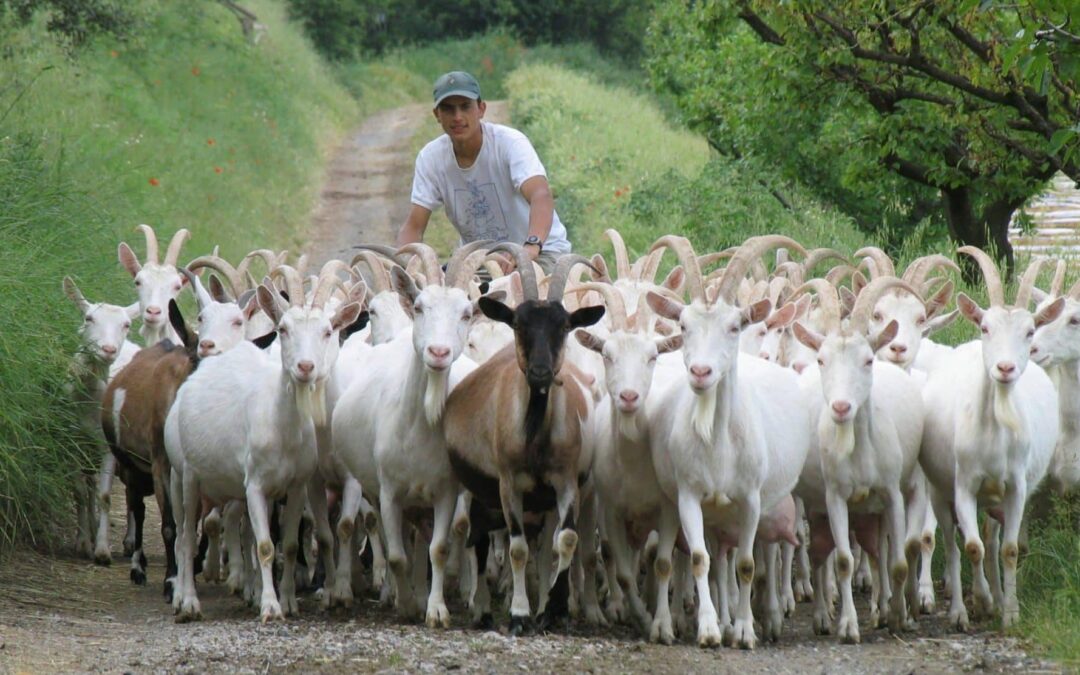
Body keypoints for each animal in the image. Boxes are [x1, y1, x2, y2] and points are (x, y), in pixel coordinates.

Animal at [63, 276, 140, 561]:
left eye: (126, 325)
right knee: (90, 486)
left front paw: (102, 550)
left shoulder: (108, 447)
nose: (108, 349)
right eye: (88, 318)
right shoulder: (70, 441)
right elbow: (80, 492)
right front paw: (83, 542)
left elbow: (106, 496)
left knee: (131, 489)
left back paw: (129, 541)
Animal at [442, 246, 604, 630]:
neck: (535, 438)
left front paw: (552, 607)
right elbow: (516, 549)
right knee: (477, 540)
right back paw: (481, 608)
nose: (540, 372)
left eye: (565, 326)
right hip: (478, 490)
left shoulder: (565, 482)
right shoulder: (508, 483)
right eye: (518, 324)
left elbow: (566, 541)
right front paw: (518, 613)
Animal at [920, 248, 1062, 630]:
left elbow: (1008, 549)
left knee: (992, 538)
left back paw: (997, 598)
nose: (1005, 368)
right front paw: (976, 605)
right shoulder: (964, 485)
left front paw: (1009, 612)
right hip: (939, 489)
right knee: (953, 543)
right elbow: (970, 547)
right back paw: (963, 606)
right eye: (985, 327)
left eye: (1030, 331)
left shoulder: (1015, 487)